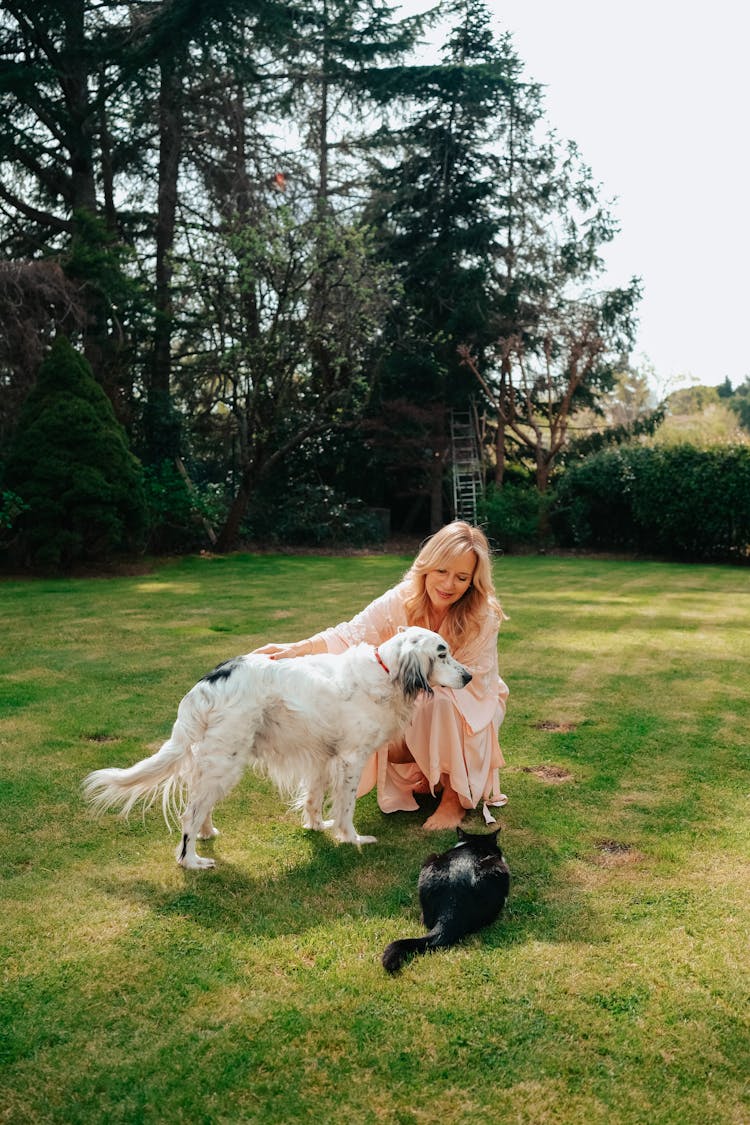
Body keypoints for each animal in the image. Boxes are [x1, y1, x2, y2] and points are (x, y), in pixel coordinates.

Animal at [82, 625, 470, 868]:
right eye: (442, 654)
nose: (468, 676)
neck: (387, 672)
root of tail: (209, 681)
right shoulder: (350, 759)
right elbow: (345, 808)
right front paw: (352, 839)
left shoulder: (321, 757)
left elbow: (314, 798)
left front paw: (316, 827)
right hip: (225, 761)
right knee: (189, 814)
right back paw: (192, 861)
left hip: (219, 762)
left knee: (200, 807)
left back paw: (208, 834)